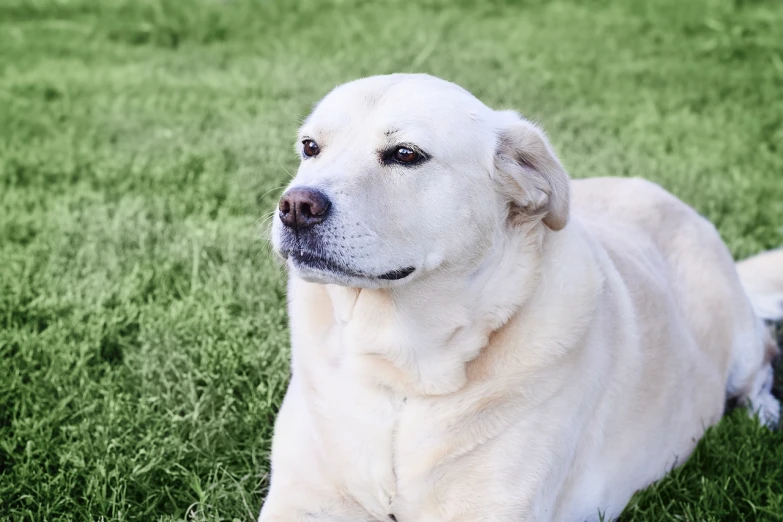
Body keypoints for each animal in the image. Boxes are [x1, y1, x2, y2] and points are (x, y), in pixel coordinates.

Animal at [260, 74, 780, 520]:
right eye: (310, 147)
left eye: (405, 154)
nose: (296, 206)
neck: (401, 371)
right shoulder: (302, 498)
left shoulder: (490, 509)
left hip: (737, 337)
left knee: (762, 361)